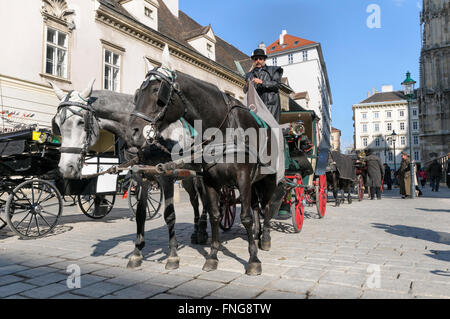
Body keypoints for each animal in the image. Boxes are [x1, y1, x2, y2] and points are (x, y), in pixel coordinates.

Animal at [127, 46, 282, 276]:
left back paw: (265, 238)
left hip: (268, 179)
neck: (223, 128)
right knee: (254, 206)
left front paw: (253, 259)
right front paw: (212, 256)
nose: (133, 132)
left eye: (157, 91)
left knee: (267, 206)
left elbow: (244, 216)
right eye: (138, 93)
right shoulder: (209, 180)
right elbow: (215, 214)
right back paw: (254, 232)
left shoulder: (243, 177)